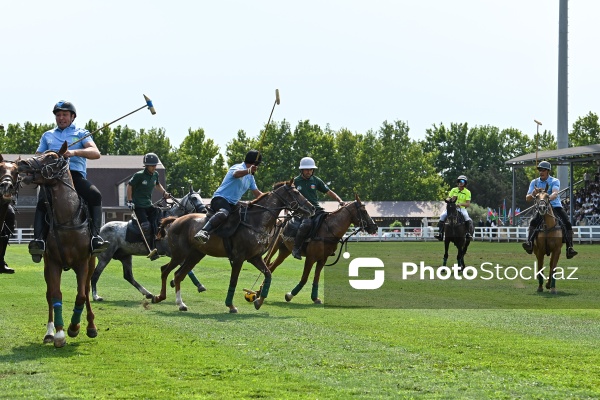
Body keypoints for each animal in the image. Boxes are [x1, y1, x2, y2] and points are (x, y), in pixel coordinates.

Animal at [16, 142, 97, 348]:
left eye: (51, 157)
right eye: (39, 153)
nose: (21, 163)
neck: (67, 219)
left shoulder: (83, 263)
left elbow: (81, 295)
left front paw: (74, 327)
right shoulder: (53, 263)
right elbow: (55, 295)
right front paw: (60, 334)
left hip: (91, 263)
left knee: (86, 290)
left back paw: (91, 326)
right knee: (49, 295)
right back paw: (49, 332)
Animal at [152, 180, 316, 314]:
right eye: (297, 192)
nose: (312, 208)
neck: (256, 221)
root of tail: (175, 220)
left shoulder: (255, 258)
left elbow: (268, 274)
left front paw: (258, 301)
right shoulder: (238, 258)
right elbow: (234, 281)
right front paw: (231, 306)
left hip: (195, 255)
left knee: (178, 275)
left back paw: (180, 304)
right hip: (179, 254)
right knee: (165, 271)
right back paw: (159, 297)